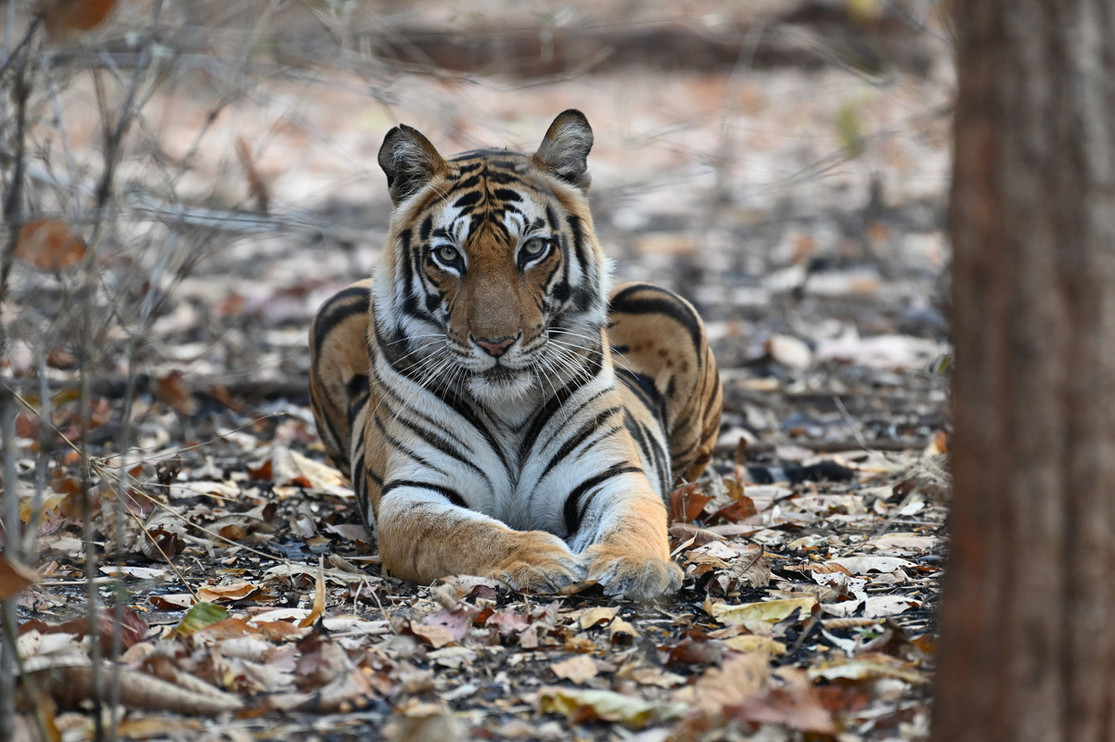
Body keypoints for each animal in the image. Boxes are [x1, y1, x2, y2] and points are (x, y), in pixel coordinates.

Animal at [307, 107, 722, 598]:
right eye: (448, 255)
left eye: (534, 248)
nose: (496, 343)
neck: (508, 408)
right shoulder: (411, 493)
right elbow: (466, 534)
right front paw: (539, 558)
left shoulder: (613, 476)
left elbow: (634, 523)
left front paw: (635, 567)